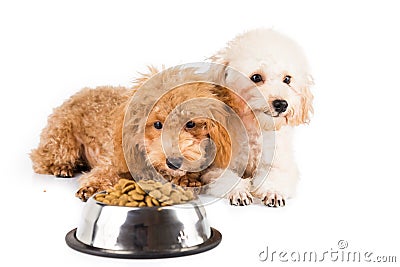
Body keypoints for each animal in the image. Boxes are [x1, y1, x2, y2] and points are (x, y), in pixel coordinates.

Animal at [31, 67, 231, 201]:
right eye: (157, 124)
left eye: (190, 123)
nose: (173, 161)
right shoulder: (114, 160)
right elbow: (104, 172)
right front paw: (92, 186)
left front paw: (188, 179)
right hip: (62, 137)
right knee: (41, 158)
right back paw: (62, 167)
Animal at [208, 28, 314, 208]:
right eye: (256, 77)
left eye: (287, 79)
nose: (281, 104)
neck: (254, 127)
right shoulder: (216, 168)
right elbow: (228, 178)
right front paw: (240, 192)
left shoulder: (281, 165)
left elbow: (274, 176)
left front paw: (273, 192)